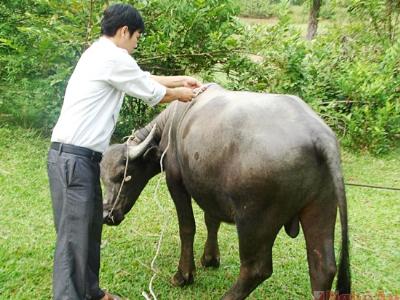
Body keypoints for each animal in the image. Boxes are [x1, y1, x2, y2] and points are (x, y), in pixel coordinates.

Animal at [101, 83, 350, 298]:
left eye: (125, 176)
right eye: (103, 179)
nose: (107, 215)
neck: (172, 123)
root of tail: (319, 135)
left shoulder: (176, 181)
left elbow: (187, 227)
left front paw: (184, 275)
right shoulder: (210, 189)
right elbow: (212, 221)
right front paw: (210, 258)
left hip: (254, 221)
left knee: (256, 269)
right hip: (321, 207)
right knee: (323, 268)